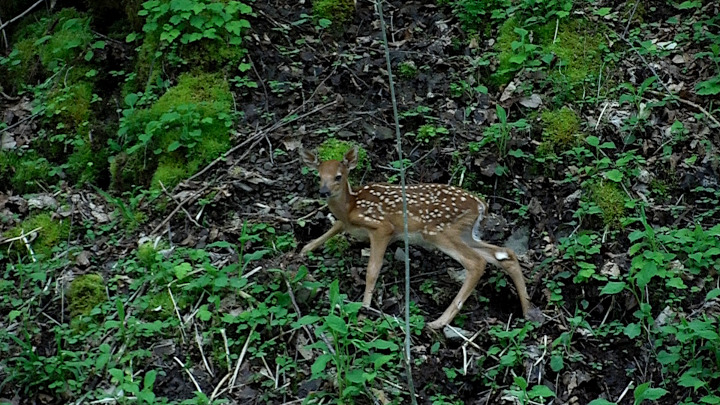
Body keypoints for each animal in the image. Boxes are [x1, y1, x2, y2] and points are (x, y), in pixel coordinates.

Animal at [299, 146, 533, 329]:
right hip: (466, 233)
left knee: (477, 262)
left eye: (338, 176)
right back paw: (527, 311)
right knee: (504, 253)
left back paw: (438, 322)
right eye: (319, 176)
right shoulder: (347, 224)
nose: (323, 192)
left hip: (438, 231)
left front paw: (365, 307)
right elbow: (334, 227)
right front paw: (304, 250)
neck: (350, 207)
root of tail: (481, 205)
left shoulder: (382, 227)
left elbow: (372, 270)